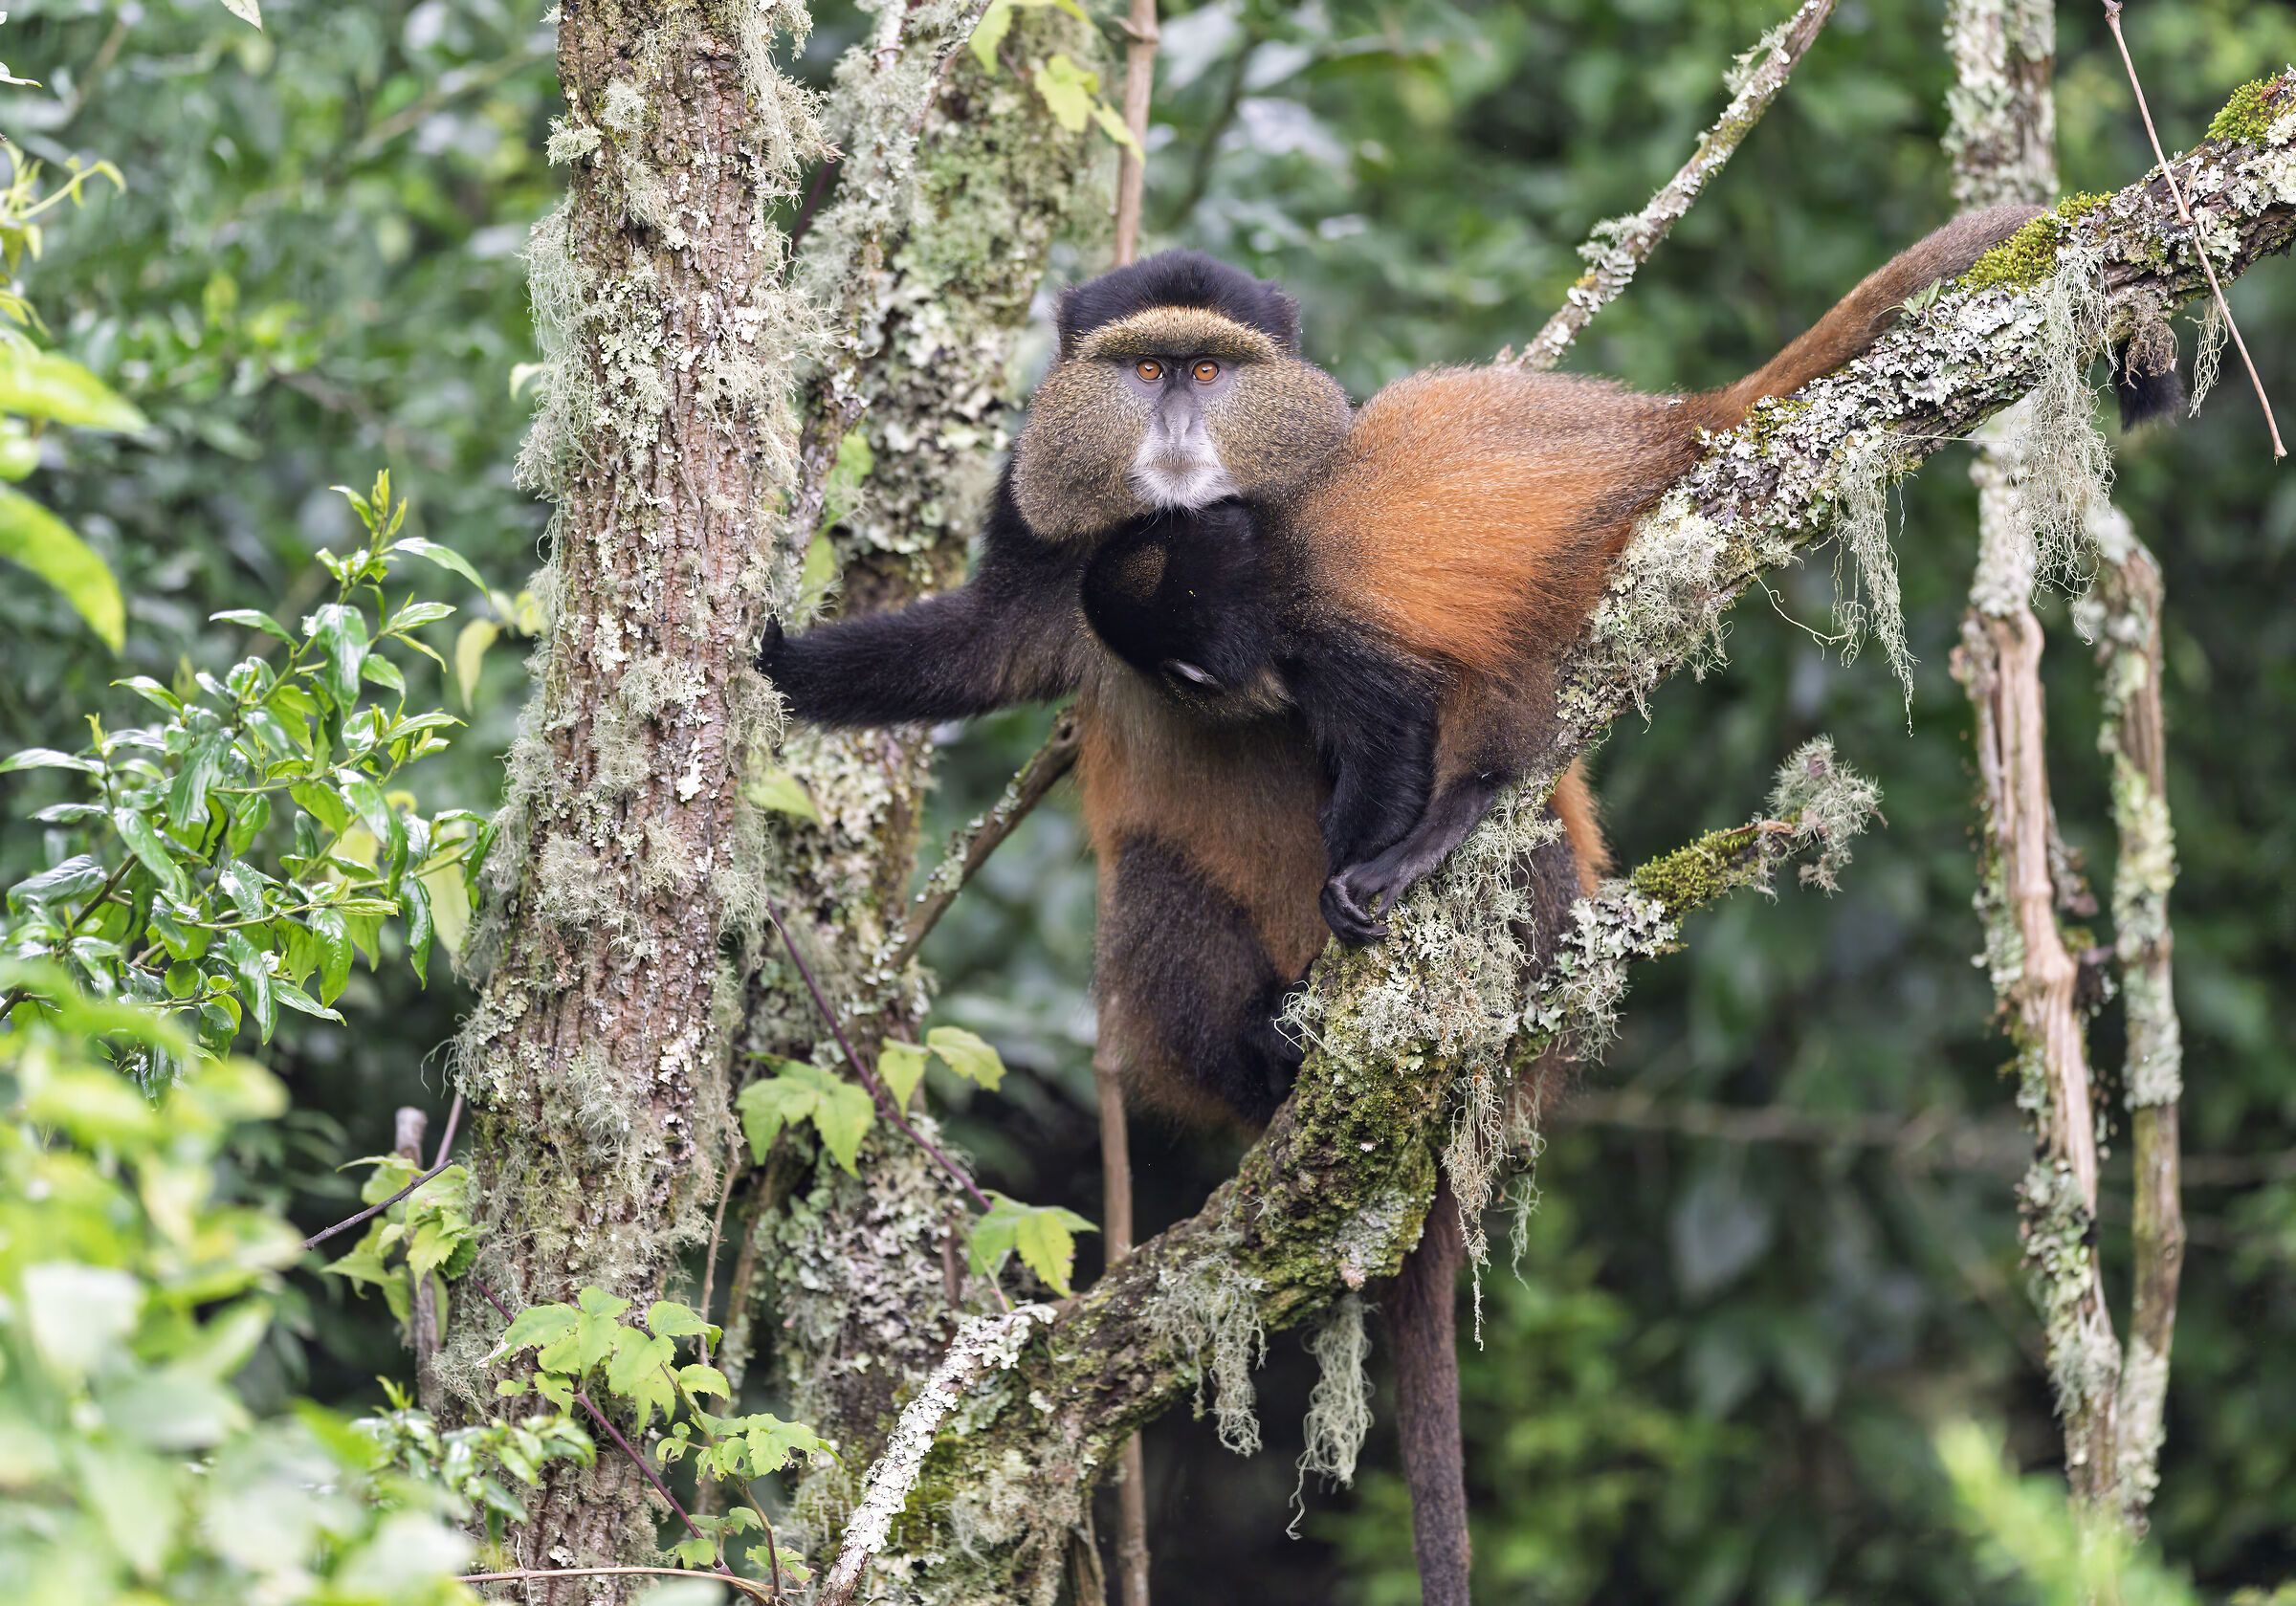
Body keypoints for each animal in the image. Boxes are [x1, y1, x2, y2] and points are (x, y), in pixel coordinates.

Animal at [758, 206, 2045, 1604]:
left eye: (1209, 370)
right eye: (1143, 368)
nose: (1174, 425)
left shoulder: (1323, 582)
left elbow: (1393, 696)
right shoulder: (1046, 528)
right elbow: (980, 643)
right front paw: (781, 658)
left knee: (1515, 764)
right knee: (1156, 893)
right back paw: (1269, 1052)